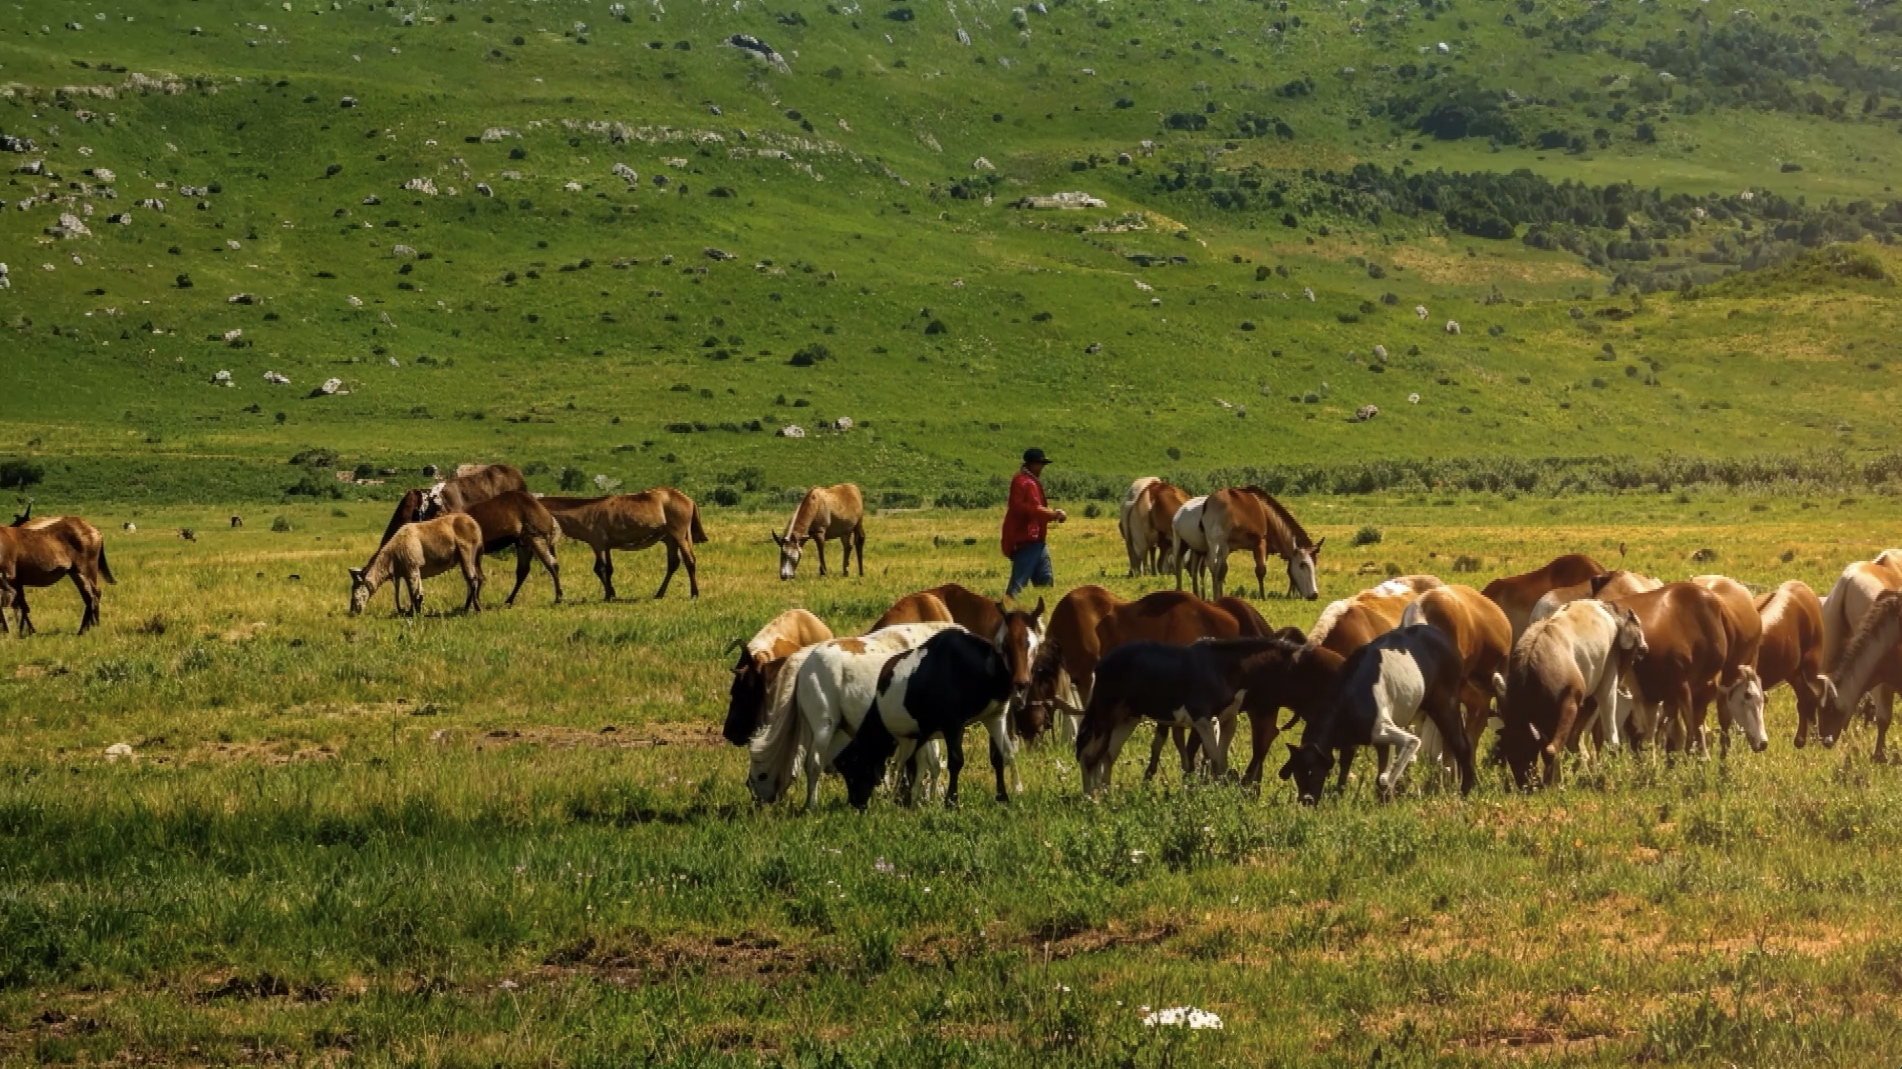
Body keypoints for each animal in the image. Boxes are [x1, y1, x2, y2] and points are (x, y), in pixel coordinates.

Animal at [348, 513, 485, 616]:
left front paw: (415, 614)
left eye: (356, 588)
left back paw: (470, 609)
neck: (391, 558)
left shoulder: (412, 569)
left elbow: (415, 594)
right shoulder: (410, 571)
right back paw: (471, 608)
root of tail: (476, 526)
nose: (353, 611)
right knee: (474, 580)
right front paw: (413, 612)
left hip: (467, 553)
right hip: (472, 558)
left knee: (472, 580)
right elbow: (415, 594)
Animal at [541, 488, 707, 600]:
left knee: (689, 561)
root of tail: (688, 499)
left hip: (680, 536)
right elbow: (608, 569)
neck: (584, 513)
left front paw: (608, 595)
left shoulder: (598, 545)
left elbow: (600, 568)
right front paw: (612, 593)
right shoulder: (606, 547)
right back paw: (660, 593)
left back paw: (694, 593)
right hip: (670, 540)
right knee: (673, 564)